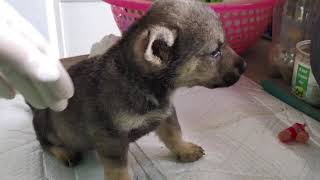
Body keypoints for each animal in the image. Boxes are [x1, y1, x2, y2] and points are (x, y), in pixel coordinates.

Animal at [33, 0, 245, 179]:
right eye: (215, 52)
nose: (244, 66)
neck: (139, 83)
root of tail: (36, 108)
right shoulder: (112, 138)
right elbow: (118, 170)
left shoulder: (165, 114)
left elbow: (174, 134)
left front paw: (184, 150)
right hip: (48, 127)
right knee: (45, 143)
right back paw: (65, 152)